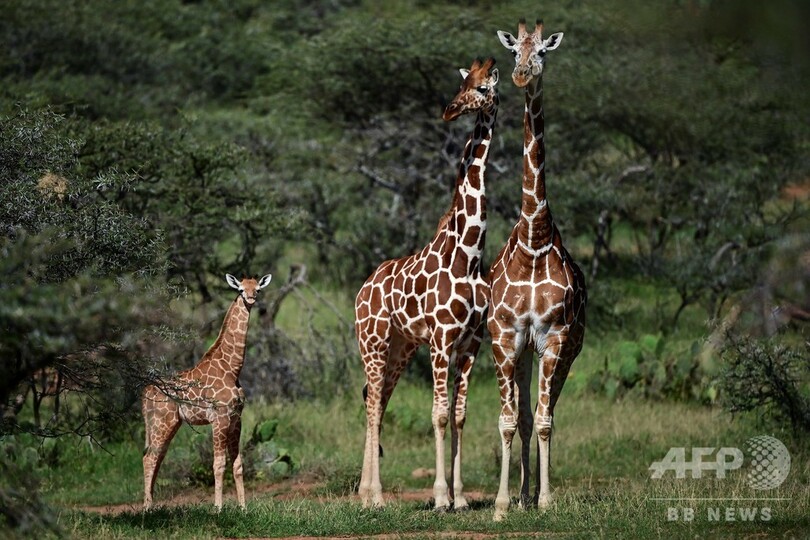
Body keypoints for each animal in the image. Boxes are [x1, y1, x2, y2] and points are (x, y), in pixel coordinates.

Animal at [142, 274, 272, 510]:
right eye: (240, 289)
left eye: (257, 289)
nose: (250, 299)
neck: (231, 368)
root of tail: (145, 393)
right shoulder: (219, 417)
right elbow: (218, 464)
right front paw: (218, 509)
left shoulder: (236, 417)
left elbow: (238, 464)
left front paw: (243, 508)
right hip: (161, 422)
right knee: (149, 458)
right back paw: (146, 509)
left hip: (170, 423)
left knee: (158, 457)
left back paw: (152, 505)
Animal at [356, 58, 498, 510]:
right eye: (463, 84)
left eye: (484, 88)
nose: (450, 110)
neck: (470, 255)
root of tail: (362, 289)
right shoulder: (441, 340)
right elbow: (436, 414)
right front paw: (439, 497)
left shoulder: (470, 343)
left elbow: (458, 415)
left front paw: (462, 498)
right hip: (373, 343)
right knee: (372, 405)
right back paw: (374, 497)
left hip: (400, 348)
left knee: (378, 402)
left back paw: (367, 494)